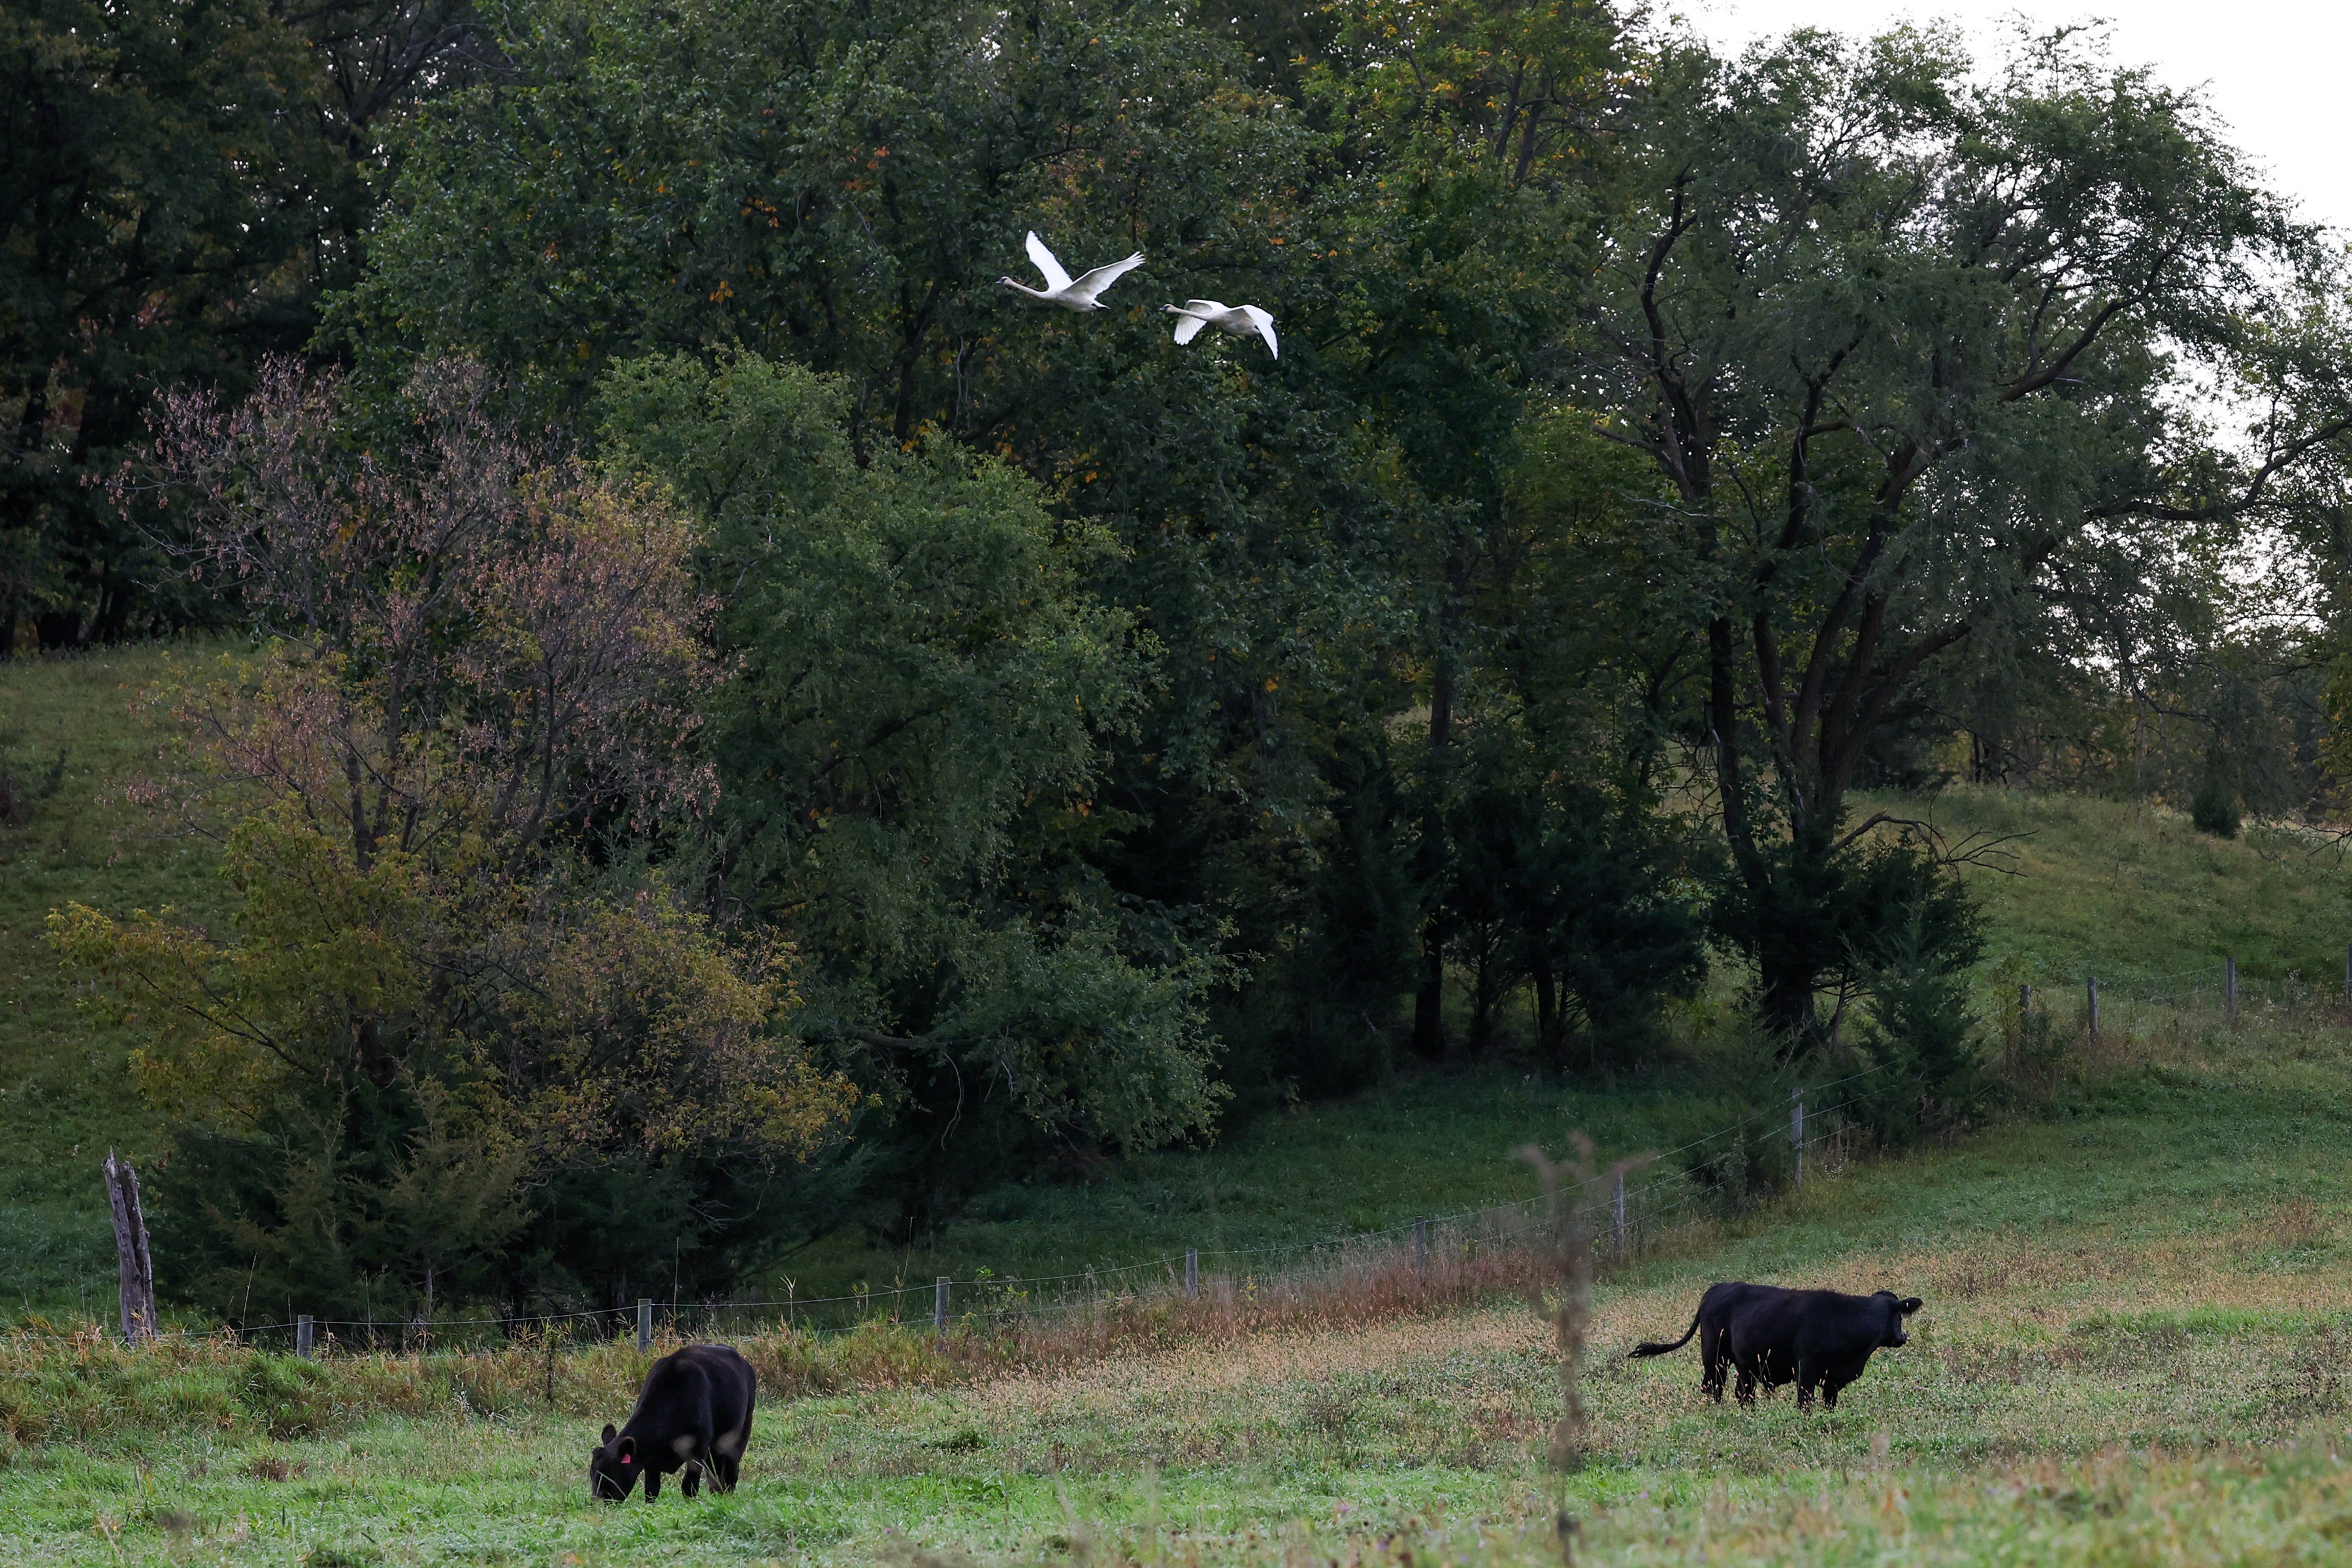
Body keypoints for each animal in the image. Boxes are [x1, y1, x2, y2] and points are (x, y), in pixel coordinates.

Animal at [589, 1343, 758, 1502]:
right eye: (592, 1475)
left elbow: (689, 1487)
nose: (597, 1504)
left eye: (607, 1477)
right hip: (716, 1445)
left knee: (731, 1470)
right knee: (715, 1472)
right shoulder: (651, 1458)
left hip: (743, 1427)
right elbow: (651, 1491)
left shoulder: (698, 1448)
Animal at [1628, 1281, 1922, 1410]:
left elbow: (1829, 1403)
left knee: (1743, 1392)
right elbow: (1805, 1402)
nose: (1902, 1338)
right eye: (1899, 1315)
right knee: (1714, 1387)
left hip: (1745, 1364)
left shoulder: (1833, 1378)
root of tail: (1717, 1288)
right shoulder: (1807, 1368)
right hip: (1715, 1356)